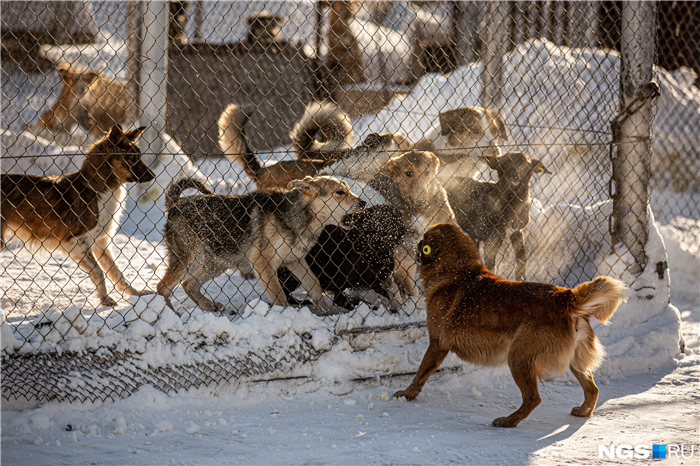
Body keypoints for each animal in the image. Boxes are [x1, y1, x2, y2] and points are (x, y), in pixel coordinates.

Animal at [0, 124, 154, 306]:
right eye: (132, 158)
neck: (99, 189)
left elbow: (117, 273)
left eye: (139, 157)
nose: (153, 175)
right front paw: (106, 300)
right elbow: (99, 272)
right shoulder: (74, 242)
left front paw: (136, 293)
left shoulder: (101, 243)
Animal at [157, 176, 366, 314]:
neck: (302, 216)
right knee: (163, 287)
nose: (363, 203)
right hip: (189, 259)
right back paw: (169, 317)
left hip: (218, 263)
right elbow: (280, 296)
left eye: (348, 189)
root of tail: (175, 204)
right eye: (340, 193)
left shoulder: (294, 260)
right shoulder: (262, 262)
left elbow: (314, 285)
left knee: (188, 284)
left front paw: (326, 313)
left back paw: (208, 306)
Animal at [394, 224, 628, 428]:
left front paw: (407, 394)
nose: (417, 241)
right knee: (592, 389)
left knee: (533, 398)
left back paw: (508, 421)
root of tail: (565, 297)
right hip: (573, 361)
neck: (458, 272)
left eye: (425, 237)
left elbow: (420, 373)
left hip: (518, 357)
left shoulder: (437, 344)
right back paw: (583, 411)